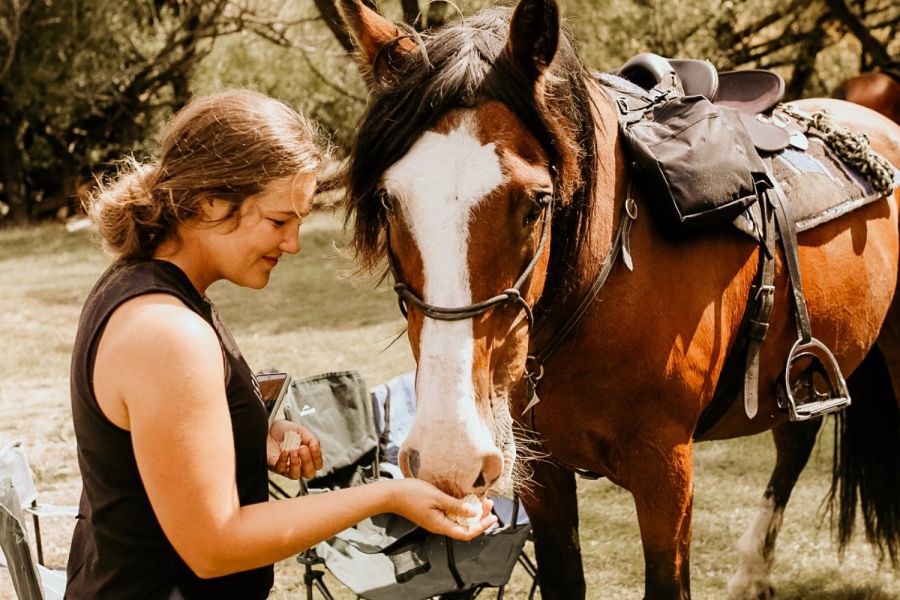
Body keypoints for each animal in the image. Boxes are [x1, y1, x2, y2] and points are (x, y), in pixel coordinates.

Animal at [337, 0, 900, 598]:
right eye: (387, 200)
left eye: (537, 203)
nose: (450, 453)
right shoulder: (544, 481)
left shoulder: (665, 478)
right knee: (796, 441)